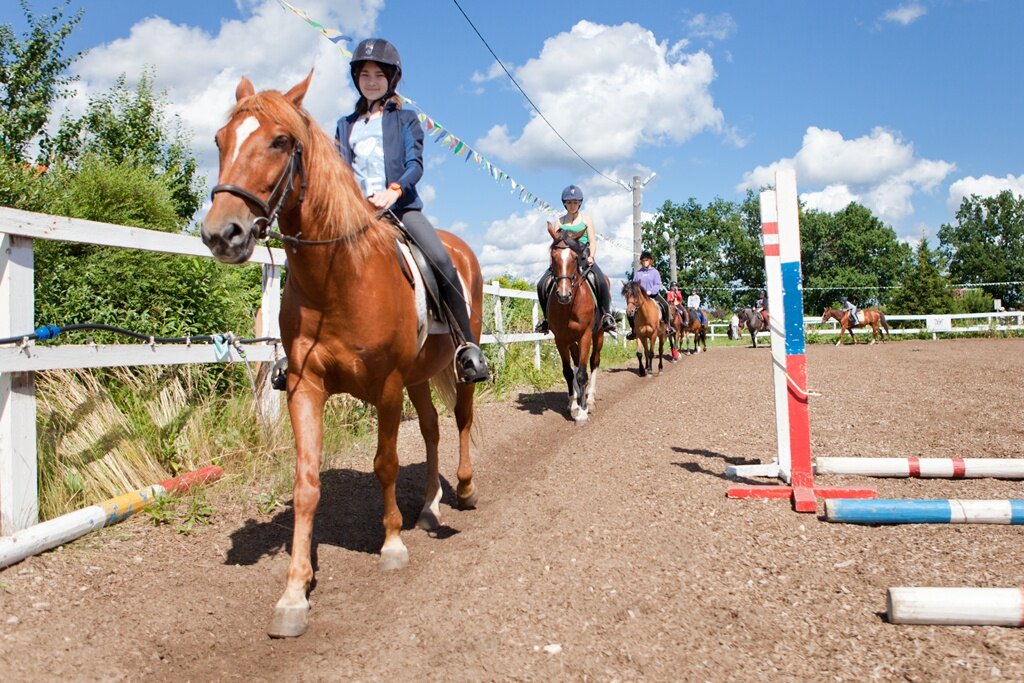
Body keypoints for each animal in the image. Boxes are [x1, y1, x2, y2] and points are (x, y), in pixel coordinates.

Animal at [204, 74, 487, 643]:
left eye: (280, 142)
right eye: (220, 140)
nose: (222, 234)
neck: (339, 277)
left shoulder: (386, 385)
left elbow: (385, 463)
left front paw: (392, 545)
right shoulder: (305, 387)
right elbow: (306, 483)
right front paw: (293, 594)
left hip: (455, 367)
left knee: (462, 419)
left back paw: (463, 491)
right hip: (418, 377)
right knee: (432, 428)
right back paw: (428, 506)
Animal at [548, 232, 602, 421]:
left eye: (574, 257)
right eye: (553, 257)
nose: (564, 295)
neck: (569, 307)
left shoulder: (585, 335)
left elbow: (583, 373)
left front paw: (582, 412)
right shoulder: (561, 339)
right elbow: (569, 372)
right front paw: (573, 404)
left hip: (598, 334)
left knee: (594, 361)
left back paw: (590, 398)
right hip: (572, 341)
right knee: (578, 362)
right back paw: (579, 398)